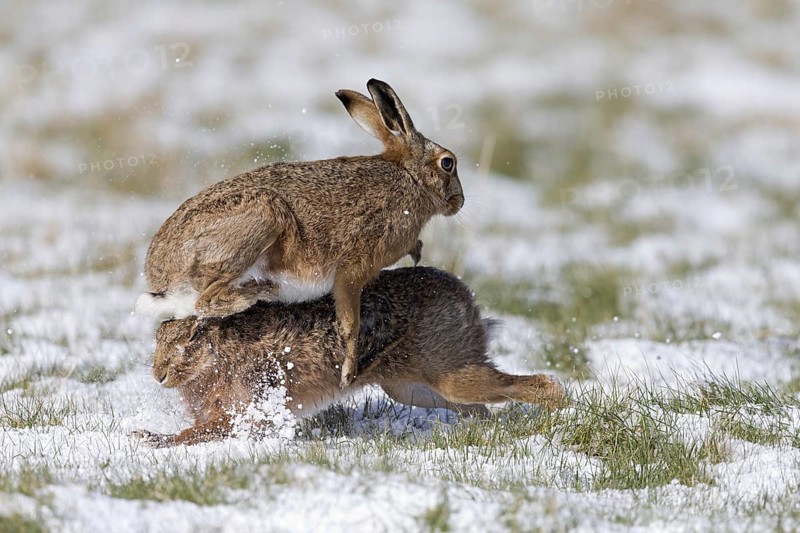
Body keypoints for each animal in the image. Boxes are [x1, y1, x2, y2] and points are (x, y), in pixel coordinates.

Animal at [132, 267, 566, 447]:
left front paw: (153, 440)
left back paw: (560, 408)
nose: (159, 375)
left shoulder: (245, 410)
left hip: (452, 374)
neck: (221, 351)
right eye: (160, 335)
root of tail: (467, 301)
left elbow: (199, 432)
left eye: (193, 337)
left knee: (524, 386)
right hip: (409, 388)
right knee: (479, 408)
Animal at [135, 79, 464, 389]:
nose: (459, 202)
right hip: (261, 218)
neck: (411, 179)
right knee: (206, 300)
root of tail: (159, 272)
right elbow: (350, 325)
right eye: (447, 163)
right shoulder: (352, 271)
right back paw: (258, 292)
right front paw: (348, 375)